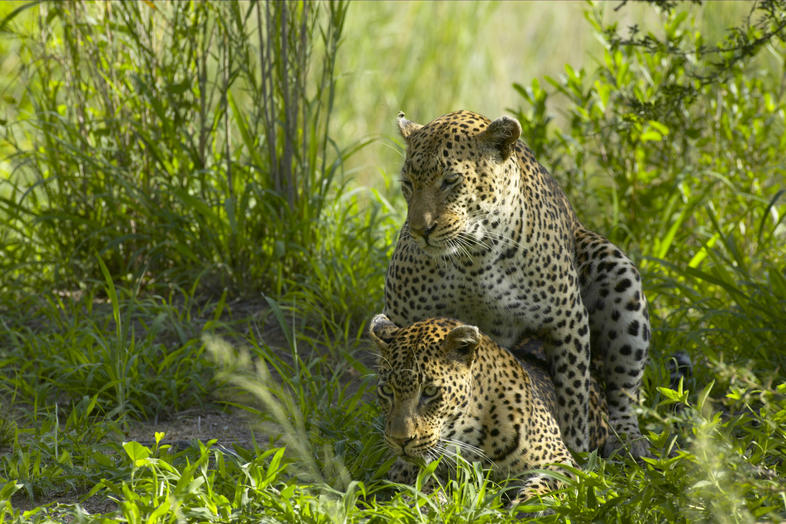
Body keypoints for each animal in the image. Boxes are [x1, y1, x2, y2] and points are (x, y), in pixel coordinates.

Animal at [364, 314, 608, 502]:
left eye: (430, 391)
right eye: (387, 390)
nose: (400, 441)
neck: (470, 433)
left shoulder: (561, 461)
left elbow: (545, 485)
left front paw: (524, 509)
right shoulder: (401, 468)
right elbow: (424, 483)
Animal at [382, 109, 648, 454]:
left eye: (450, 181)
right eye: (408, 184)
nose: (420, 230)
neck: (473, 258)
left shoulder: (567, 322)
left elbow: (573, 395)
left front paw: (576, 451)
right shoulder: (403, 318)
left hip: (617, 271)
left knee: (624, 391)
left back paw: (630, 443)